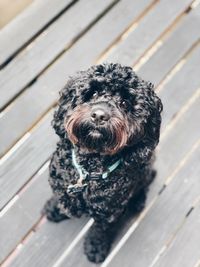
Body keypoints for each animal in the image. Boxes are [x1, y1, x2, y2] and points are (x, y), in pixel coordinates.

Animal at [43, 63, 162, 264]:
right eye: (93, 93)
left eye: (125, 103)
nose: (99, 115)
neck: (88, 170)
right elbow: (60, 197)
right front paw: (55, 207)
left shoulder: (108, 213)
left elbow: (100, 231)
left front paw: (95, 247)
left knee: (145, 181)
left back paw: (138, 201)